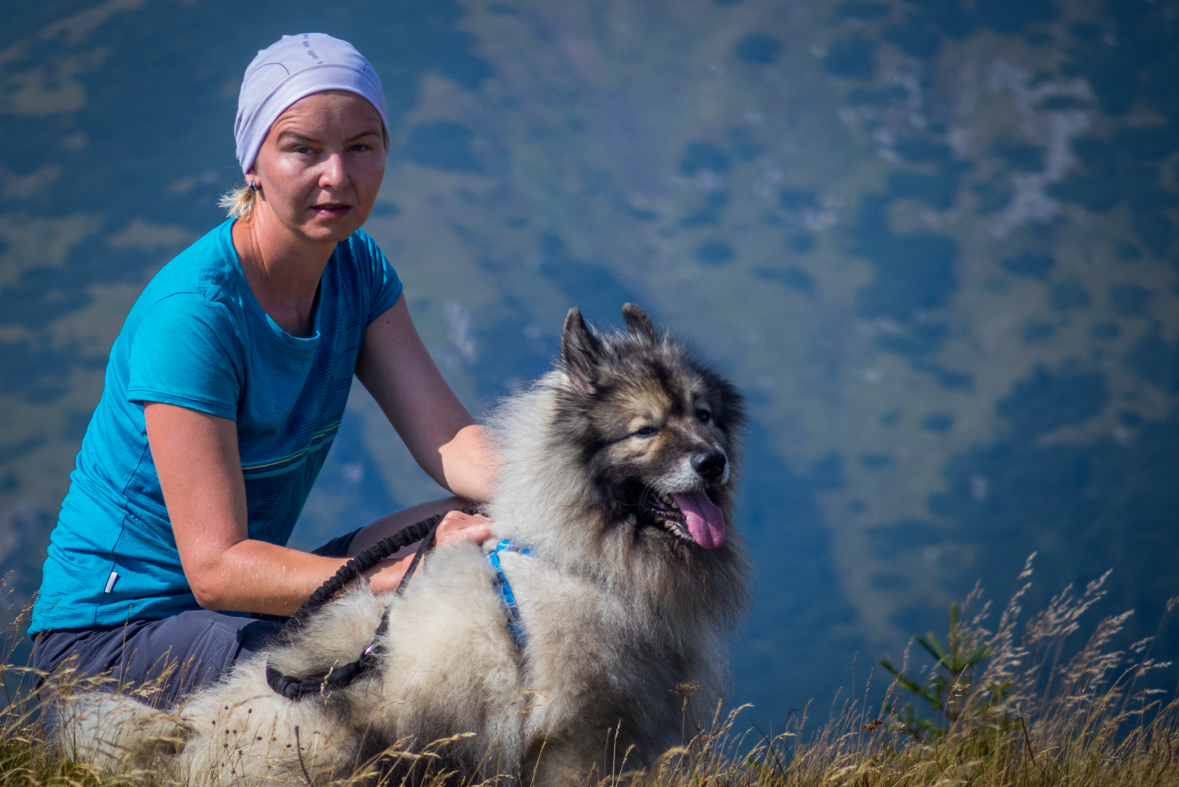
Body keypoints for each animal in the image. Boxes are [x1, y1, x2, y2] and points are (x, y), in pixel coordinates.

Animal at [62, 303, 745, 782]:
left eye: (703, 414)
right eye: (645, 430)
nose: (712, 463)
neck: (574, 556)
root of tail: (186, 739)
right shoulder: (571, 737)